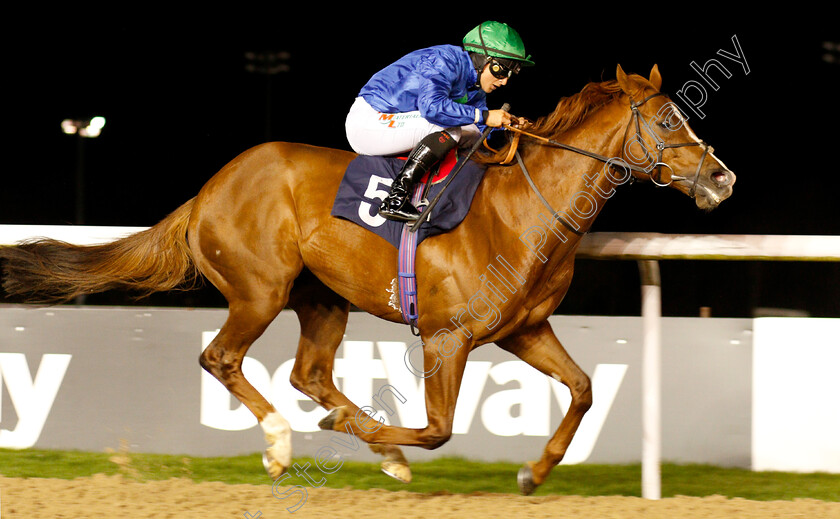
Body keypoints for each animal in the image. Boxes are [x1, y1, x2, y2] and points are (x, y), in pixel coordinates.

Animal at [0, 65, 736, 496]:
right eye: (667, 119)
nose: (722, 176)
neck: (520, 211)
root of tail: (209, 188)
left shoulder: (524, 329)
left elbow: (582, 389)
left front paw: (532, 471)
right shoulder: (446, 337)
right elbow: (437, 429)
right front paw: (387, 444)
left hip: (323, 298)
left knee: (308, 373)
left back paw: (348, 428)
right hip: (260, 289)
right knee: (223, 357)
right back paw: (283, 444)